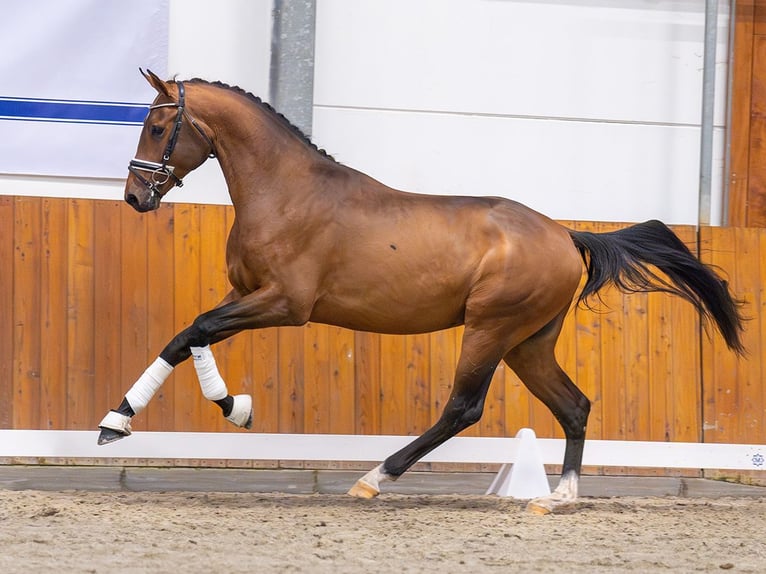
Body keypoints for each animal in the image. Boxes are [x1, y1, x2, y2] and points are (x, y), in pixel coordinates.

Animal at [97, 70, 752, 516]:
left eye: (158, 126)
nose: (133, 196)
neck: (284, 191)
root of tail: (566, 235)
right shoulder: (248, 293)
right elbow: (189, 336)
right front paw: (144, 419)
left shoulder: (287, 304)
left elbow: (196, 329)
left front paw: (201, 412)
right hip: (529, 343)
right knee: (574, 406)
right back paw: (557, 497)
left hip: (490, 328)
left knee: (464, 407)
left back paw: (375, 478)